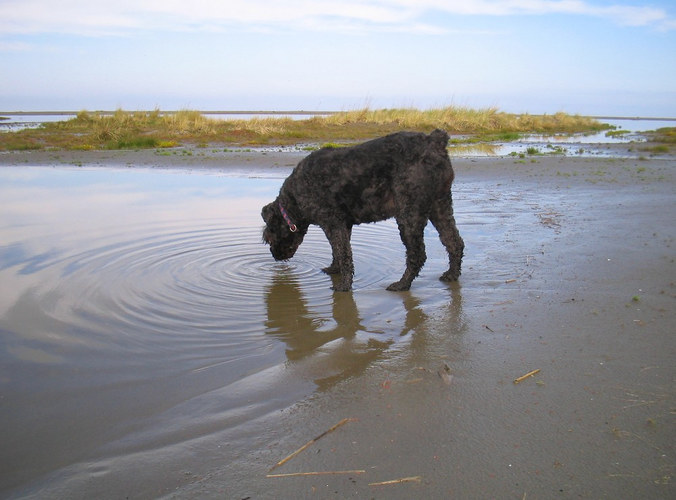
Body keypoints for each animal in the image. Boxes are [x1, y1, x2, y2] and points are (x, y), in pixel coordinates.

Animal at [262, 130, 462, 292]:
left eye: (269, 238)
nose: (275, 256)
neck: (293, 200)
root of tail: (435, 141)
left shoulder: (333, 223)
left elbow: (344, 254)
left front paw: (343, 286)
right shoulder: (343, 225)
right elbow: (337, 251)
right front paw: (334, 269)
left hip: (409, 215)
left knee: (417, 254)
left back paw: (402, 284)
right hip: (440, 205)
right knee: (454, 242)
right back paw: (452, 274)